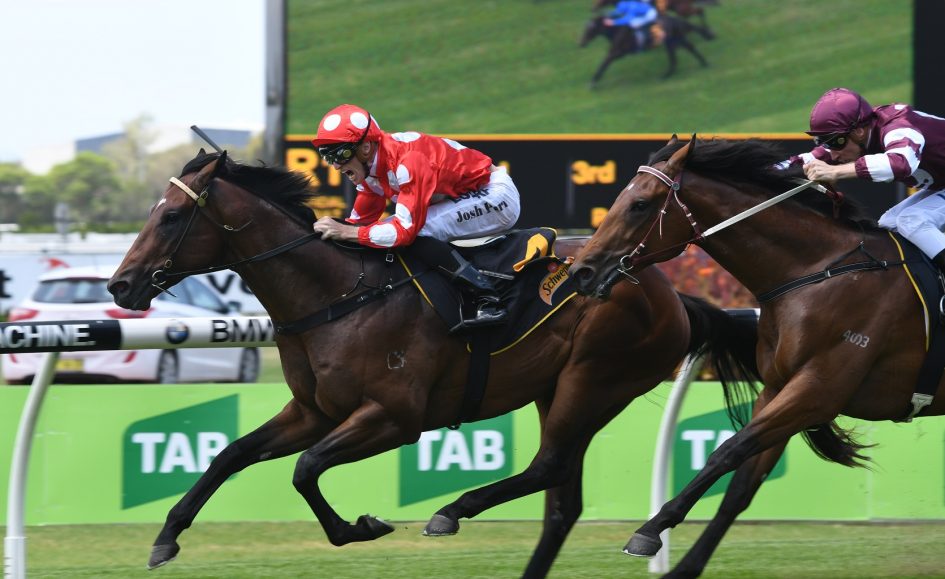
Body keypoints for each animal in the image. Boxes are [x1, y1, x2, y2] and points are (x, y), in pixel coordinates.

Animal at [106, 149, 760, 577]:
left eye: (170, 216)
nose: (121, 285)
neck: (337, 295)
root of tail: (672, 293)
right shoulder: (314, 410)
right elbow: (231, 454)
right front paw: (165, 539)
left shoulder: (395, 417)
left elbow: (306, 469)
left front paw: (358, 528)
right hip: (560, 387)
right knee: (560, 497)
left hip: (595, 378)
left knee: (548, 466)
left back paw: (451, 511)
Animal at [568, 136, 945, 577]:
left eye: (639, 204)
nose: (581, 272)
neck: (820, 273)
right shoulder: (778, 389)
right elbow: (741, 486)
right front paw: (684, 565)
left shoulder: (817, 389)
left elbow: (726, 452)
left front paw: (650, 530)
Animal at [579, 12, 713, 88]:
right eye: (585, 29)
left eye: (589, 29)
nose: (581, 43)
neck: (616, 29)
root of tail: (678, 20)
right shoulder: (616, 52)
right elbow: (604, 63)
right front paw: (593, 82)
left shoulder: (617, 53)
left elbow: (604, 64)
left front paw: (593, 83)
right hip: (677, 41)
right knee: (687, 52)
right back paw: (703, 64)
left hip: (672, 42)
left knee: (677, 59)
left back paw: (665, 76)